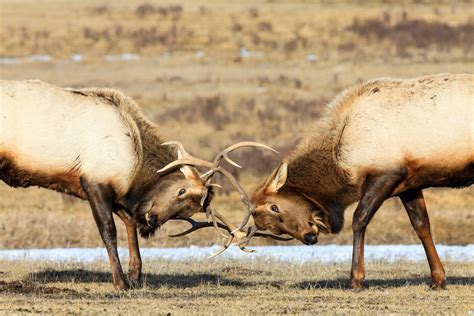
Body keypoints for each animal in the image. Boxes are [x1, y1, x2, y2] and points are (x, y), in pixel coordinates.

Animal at [0, 79, 274, 288]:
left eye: (191, 210)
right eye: (181, 190)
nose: (153, 220)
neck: (134, 161)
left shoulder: (118, 195)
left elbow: (130, 223)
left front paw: (135, 276)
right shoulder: (94, 183)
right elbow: (109, 232)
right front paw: (120, 281)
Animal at [209, 73, 472, 290]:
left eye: (275, 206)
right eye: (271, 227)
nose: (309, 237)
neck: (343, 160)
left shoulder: (386, 174)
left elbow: (359, 219)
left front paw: (356, 279)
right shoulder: (410, 183)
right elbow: (421, 226)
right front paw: (438, 279)